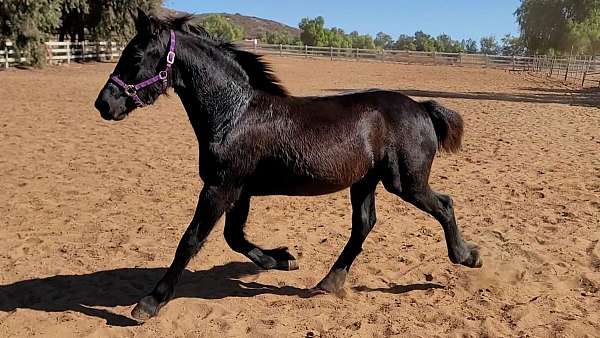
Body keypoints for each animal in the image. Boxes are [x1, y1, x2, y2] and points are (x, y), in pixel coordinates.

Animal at [96, 10, 486, 320]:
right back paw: (328, 282)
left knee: (444, 205)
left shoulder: (221, 187)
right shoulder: (239, 191)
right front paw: (283, 259)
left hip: (405, 182)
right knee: (363, 225)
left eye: (135, 56)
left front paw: (149, 303)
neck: (234, 114)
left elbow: (191, 240)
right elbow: (234, 237)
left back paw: (468, 256)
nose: (104, 104)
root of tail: (421, 107)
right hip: (365, 181)